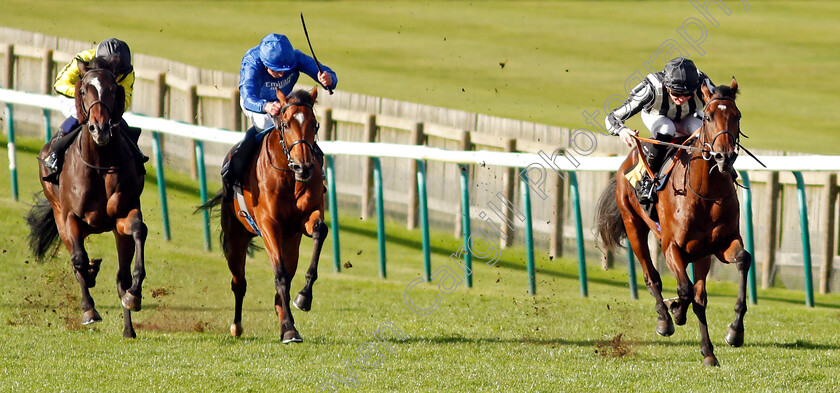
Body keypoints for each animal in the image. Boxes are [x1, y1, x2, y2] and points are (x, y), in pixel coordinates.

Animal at [27, 55, 147, 336]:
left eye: (114, 89)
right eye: (84, 90)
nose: (99, 128)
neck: (100, 163)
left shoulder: (123, 215)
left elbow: (139, 230)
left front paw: (134, 295)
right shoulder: (71, 217)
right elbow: (79, 260)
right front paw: (89, 309)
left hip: (115, 232)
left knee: (121, 276)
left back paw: (128, 328)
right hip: (59, 214)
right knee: (76, 260)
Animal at [199, 86, 326, 344]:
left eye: (314, 124)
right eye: (285, 124)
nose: (304, 167)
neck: (289, 177)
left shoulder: (304, 220)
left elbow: (320, 229)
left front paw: (303, 299)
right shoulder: (269, 225)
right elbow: (280, 275)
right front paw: (289, 327)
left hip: (291, 242)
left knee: (285, 276)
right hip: (236, 239)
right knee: (239, 282)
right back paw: (237, 326)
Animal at [592, 78, 752, 366]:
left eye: (737, 116)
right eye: (708, 117)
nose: (724, 158)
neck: (704, 193)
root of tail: (628, 159)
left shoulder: (722, 244)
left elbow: (742, 260)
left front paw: (735, 332)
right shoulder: (671, 247)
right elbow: (684, 290)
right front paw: (675, 310)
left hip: (701, 254)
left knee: (699, 297)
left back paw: (708, 353)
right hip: (634, 226)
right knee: (651, 277)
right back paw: (665, 320)